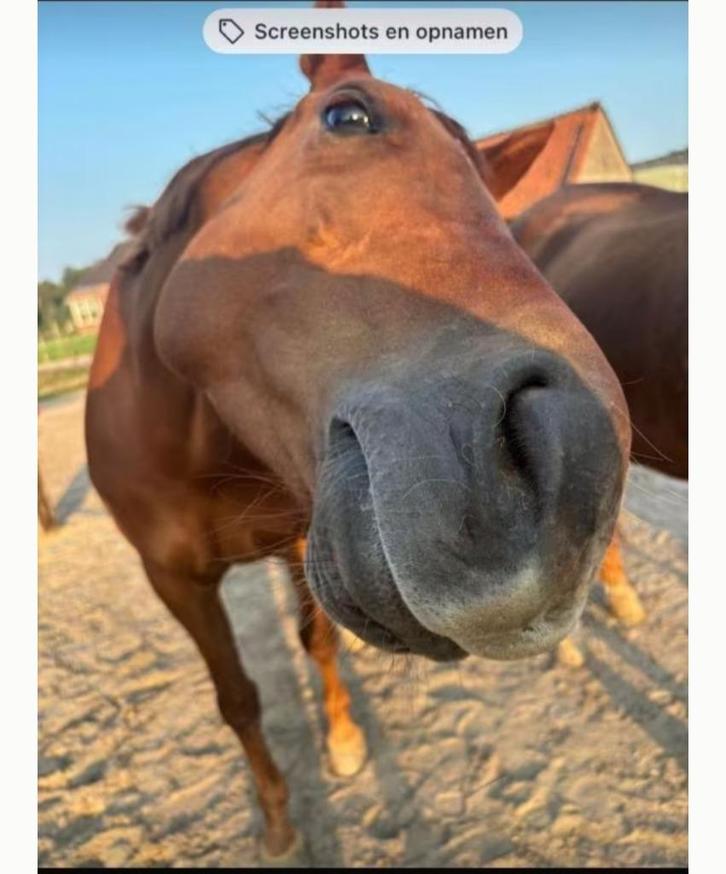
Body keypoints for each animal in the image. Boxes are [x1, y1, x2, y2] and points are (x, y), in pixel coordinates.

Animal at [85, 18, 631, 861]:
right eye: (348, 116)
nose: (572, 470)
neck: (199, 439)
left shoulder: (295, 541)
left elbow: (319, 646)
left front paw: (341, 742)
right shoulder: (171, 577)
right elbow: (237, 698)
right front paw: (279, 821)